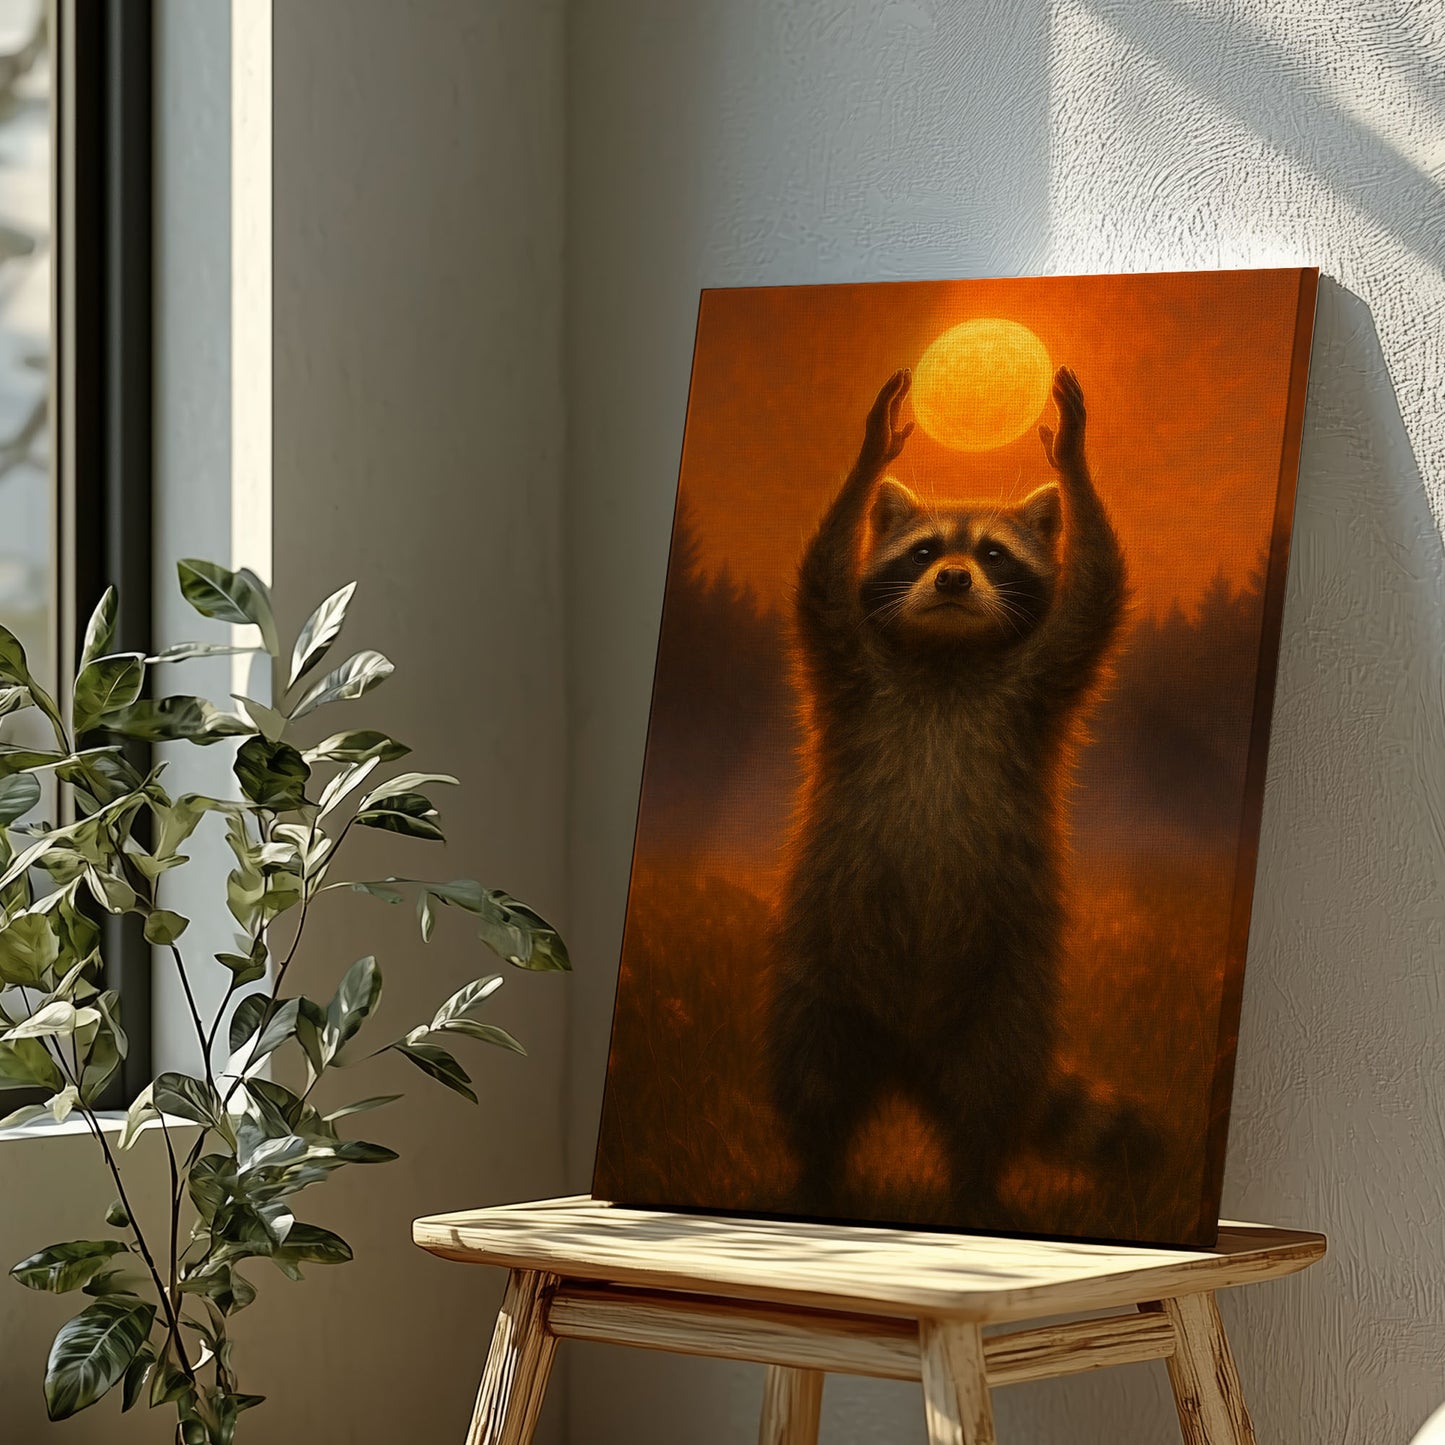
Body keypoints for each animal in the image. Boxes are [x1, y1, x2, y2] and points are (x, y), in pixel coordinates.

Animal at [771, 365, 1127, 1226]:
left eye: (993, 552)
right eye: (926, 549)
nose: (956, 577)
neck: (946, 655)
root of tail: (907, 1052)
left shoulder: (1041, 684)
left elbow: (1093, 594)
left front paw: (1074, 461)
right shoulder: (846, 668)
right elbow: (819, 580)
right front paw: (872, 449)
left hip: (1005, 990)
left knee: (987, 1094)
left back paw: (974, 1184)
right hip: (818, 974)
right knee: (812, 1078)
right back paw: (816, 1175)